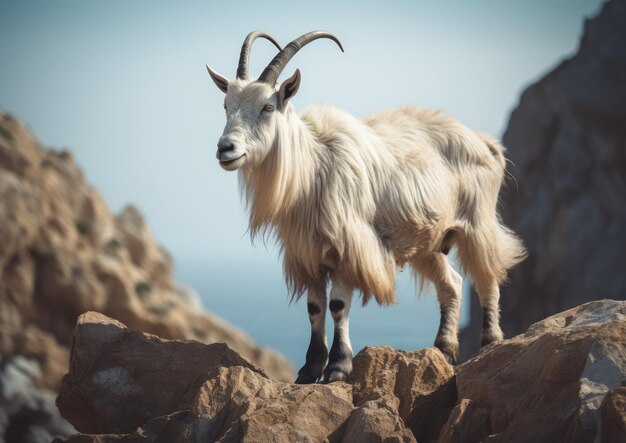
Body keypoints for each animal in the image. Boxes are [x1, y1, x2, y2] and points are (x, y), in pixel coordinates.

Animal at [206, 32, 528, 386]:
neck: (313, 168)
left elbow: (337, 305)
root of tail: (484, 142)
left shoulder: (349, 246)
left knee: (487, 276)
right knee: (452, 284)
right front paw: (309, 370)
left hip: (477, 222)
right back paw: (444, 349)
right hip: (428, 243)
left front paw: (337, 367)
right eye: (225, 105)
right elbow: (315, 308)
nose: (225, 149)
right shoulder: (308, 254)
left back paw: (490, 340)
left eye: (267, 107)